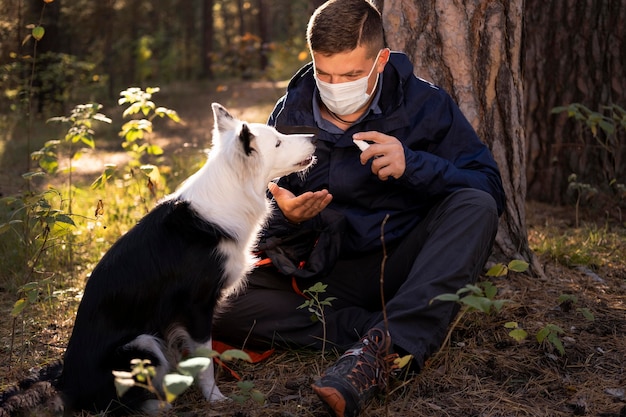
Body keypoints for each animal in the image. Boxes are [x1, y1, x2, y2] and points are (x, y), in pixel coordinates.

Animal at [56, 103, 314, 412]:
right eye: (277, 142)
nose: (315, 137)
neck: (230, 192)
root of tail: (66, 387)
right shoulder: (196, 306)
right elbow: (205, 361)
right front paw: (214, 397)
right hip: (141, 344)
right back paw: (161, 405)